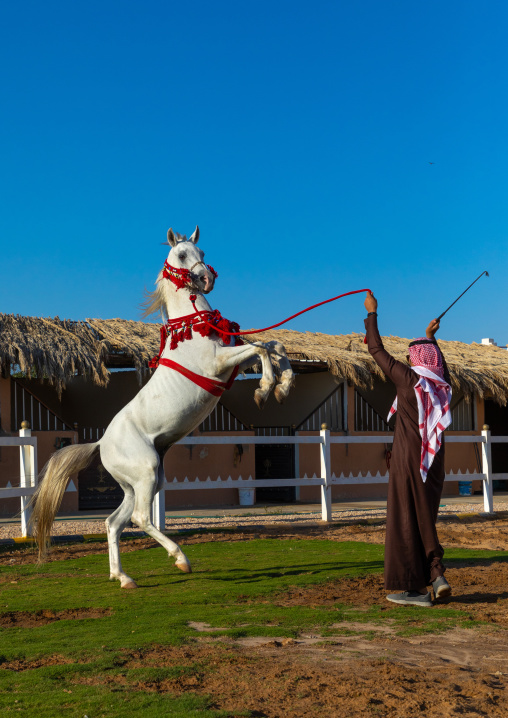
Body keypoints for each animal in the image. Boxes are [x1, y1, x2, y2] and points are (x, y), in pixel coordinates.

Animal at [30, 226, 294, 588]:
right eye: (181, 255)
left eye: (202, 251)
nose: (207, 278)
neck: (193, 326)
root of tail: (101, 443)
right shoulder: (219, 363)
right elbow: (261, 349)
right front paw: (265, 390)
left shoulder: (231, 361)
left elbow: (274, 345)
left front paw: (283, 387)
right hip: (146, 473)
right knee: (141, 518)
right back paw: (180, 559)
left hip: (137, 483)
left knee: (114, 523)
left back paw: (122, 577)